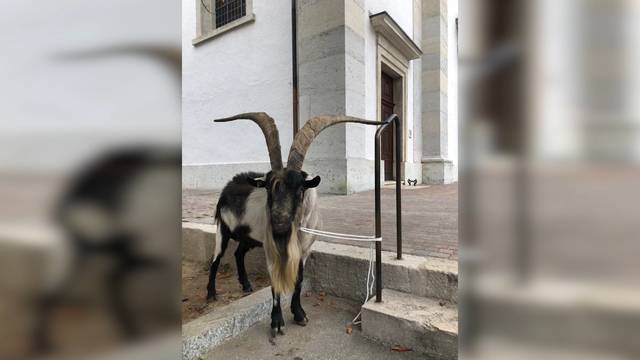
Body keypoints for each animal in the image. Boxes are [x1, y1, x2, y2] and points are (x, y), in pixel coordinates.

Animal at [210, 112, 380, 338]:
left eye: (300, 189)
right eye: (268, 188)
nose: (279, 224)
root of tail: (228, 186)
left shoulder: (305, 250)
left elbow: (299, 280)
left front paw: (299, 315)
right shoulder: (271, 248)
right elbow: (275, 284)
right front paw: (276, 323)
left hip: (250, 238)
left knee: (238, 254)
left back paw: (246, 286)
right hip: (223, 229)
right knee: (216, 260)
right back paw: (211, 295)